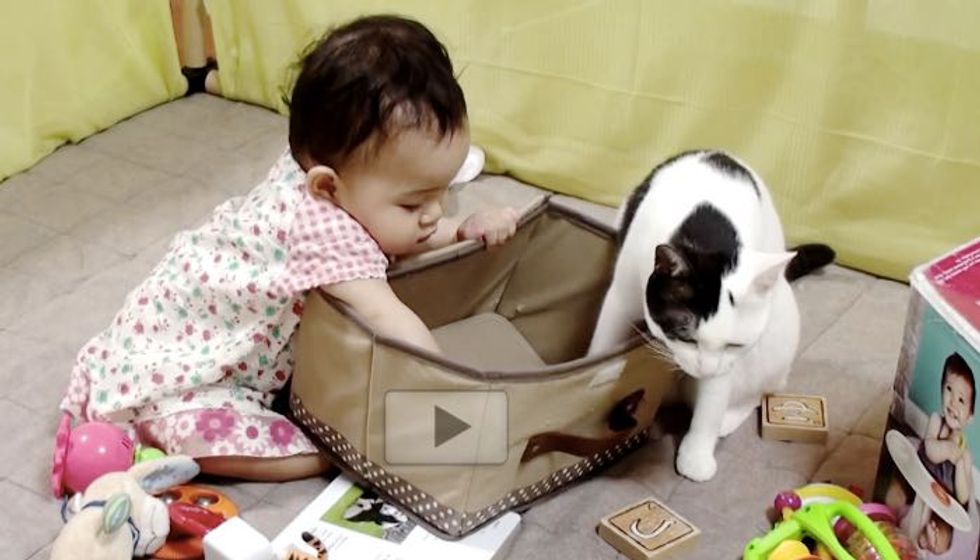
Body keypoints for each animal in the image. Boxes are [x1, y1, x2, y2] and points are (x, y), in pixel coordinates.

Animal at [584, 150, 832, 482]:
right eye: (686, 337)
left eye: (734, 345)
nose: (706, 369)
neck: (708, 235)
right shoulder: (622, 296)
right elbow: (604, 340)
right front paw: (593, 381)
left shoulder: (729, 360)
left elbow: (712, 401)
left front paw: (697, 453)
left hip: (777, 337)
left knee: (764, 389)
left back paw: (729, 417)